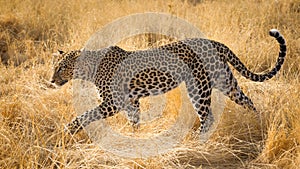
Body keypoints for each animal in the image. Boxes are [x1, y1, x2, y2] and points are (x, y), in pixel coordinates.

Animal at [51, 28, 286, 135]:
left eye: (61, 67)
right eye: (54, 67)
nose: (52, 80)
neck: (90, 69)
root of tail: (214, 42)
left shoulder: (113, 102)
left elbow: (86, 114)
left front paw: (69, 129)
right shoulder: (131, 102)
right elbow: (134, 121)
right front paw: (135, 137)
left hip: (199, 87)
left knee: (207, 117)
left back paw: (196, 141)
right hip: (225, 80)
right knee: (247, 100)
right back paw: (258, 122)